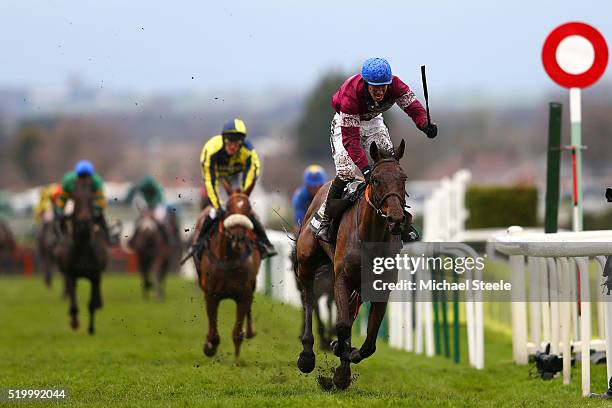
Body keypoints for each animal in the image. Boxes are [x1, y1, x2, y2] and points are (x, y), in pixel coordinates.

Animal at [56, 176, 107, 334]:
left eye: (91, 198)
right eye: (75, 198)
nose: (84, 222)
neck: (83, 246)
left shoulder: (95, 276)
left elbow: (91, 304)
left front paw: (91, 329)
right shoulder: (71, 275)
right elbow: (73, 304)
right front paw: (74, 323)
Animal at [198, 182, 260, 364]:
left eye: (248, 208)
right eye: (228, 208)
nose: (238, 237)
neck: (228, 259)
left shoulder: (244, 295)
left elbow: (237, 333)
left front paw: (237, 361)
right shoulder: (211, 295)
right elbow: (213, 332)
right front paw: (209, 346)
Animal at [294, 142, 408, 390]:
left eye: (403, 178)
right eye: (375, 179)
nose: (396, 219)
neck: (369, 236)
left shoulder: (380, 287)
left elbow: (369, 342)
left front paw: (343, 366)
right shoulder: (341, 278)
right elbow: (344, 326)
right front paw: (338, 362)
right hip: (306, 262)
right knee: (309, 300)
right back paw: (307, 355)